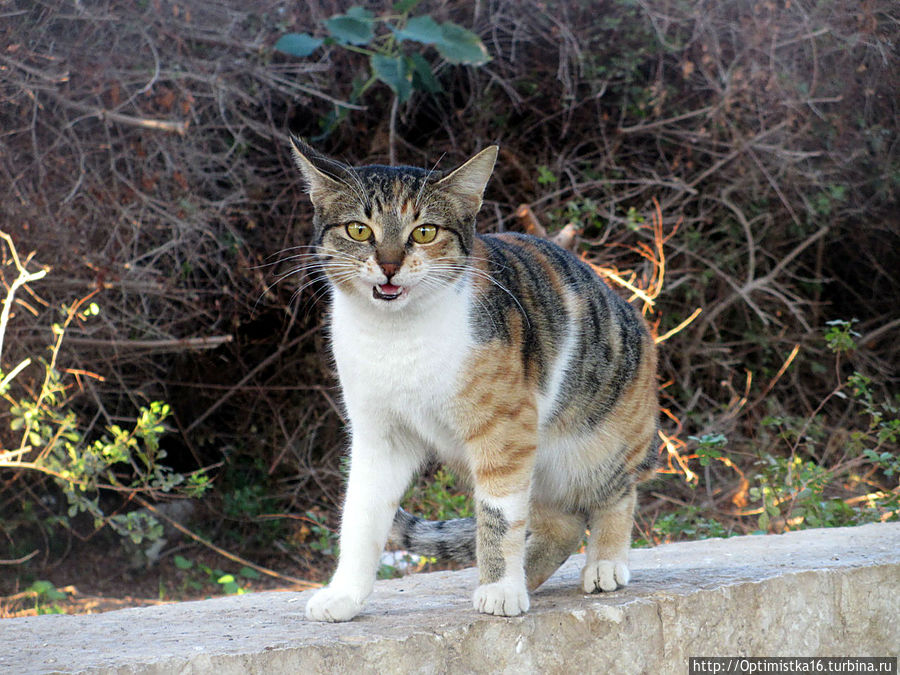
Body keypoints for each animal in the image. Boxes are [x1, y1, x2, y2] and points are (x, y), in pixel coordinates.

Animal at [292, 139, 656, 624]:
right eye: (358, 230)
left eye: (425, 232)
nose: (388, 265)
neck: (396, 338)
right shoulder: (378, 435)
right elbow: (361, 515)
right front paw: (344, 595)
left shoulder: (505, 430)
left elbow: (498, 516)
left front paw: (500, 590)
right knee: (561, 523)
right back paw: (528, 575)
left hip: (598, 442)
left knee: (614, 495)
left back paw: (605, 564)